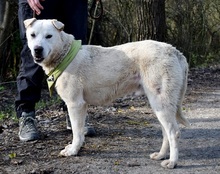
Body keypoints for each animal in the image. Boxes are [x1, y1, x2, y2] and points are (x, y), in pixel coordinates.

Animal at [23, 18, 189, 169]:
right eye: (32, 35)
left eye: (49, 36)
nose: (37, 49)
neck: (64, 54)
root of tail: (174, 51)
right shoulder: (81, 106)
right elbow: (80, 131)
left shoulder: (75, 104)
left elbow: (77, 132)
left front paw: (73, 150)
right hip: (159, 105)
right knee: (166, 132)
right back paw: (161, 155)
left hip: (161, 102)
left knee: (173, 132)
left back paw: (172, 162)